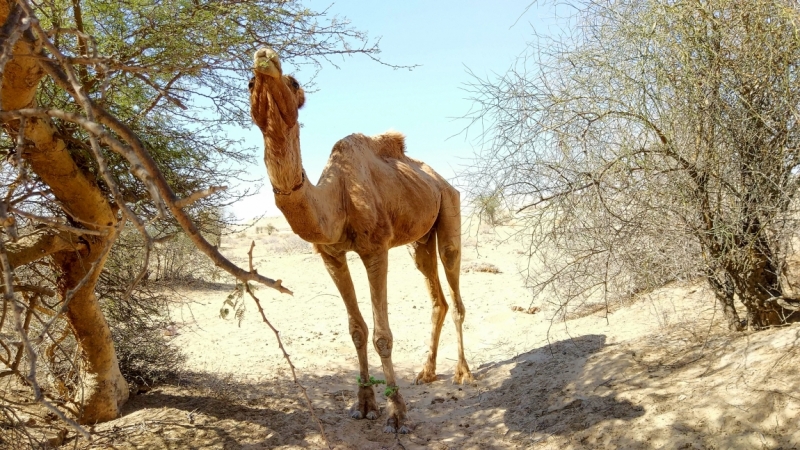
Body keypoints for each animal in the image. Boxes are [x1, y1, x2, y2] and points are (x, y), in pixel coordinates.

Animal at [250, 47, 472, 434]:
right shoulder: (331, 255)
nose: (264, 56)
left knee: (454, 279)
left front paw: (397, 414)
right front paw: (364, 404)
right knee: (436, 295)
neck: (337, 198)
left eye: (293, 82)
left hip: (449, 206)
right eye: (249, 84)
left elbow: (382, 335)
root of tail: (438, 178)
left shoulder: (375, 249)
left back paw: (463, 373)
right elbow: (356, 329)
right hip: (420, 239)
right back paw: (426, 372)